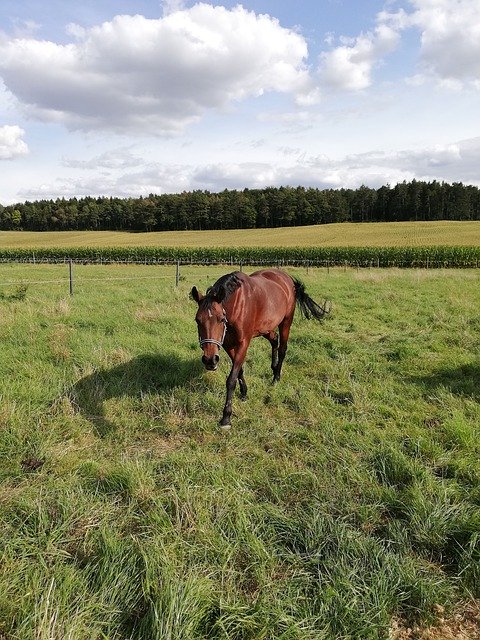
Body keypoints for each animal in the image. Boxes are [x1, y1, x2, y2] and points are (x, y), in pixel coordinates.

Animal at [191, 268, 330, 428]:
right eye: (197, 320)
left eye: (220, 319)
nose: (210, 360)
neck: (237, 304)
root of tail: (287, 278)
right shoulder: (227, 344)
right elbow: (239, 371)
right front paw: (244, 393)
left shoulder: (243, 343)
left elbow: (231, 379)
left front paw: (226, 417)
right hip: (266, 328)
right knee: (274, 340)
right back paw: (274, 368)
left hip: (286, 322)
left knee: (282, 349)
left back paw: (276, 378)